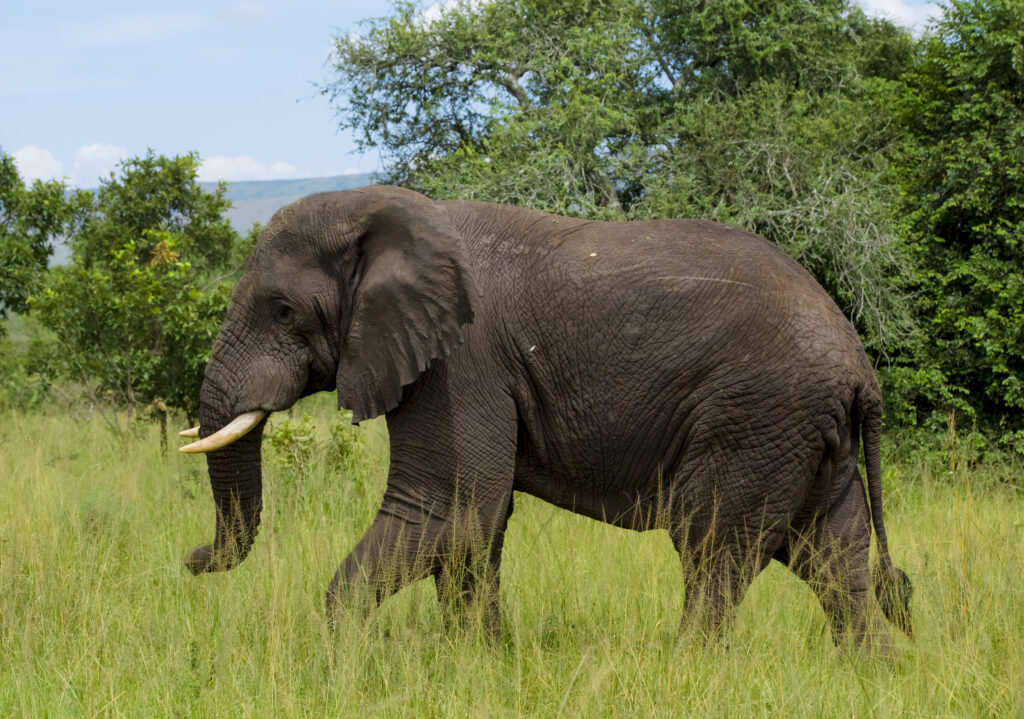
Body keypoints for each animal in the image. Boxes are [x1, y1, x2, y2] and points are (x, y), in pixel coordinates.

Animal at [182, 184, 913, 647]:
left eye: (282, 311)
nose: (190, 558)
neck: (389, 211)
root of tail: (860, 364)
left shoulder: (461, 359)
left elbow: (446, 510)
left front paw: (345, 662)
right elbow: (478, 524)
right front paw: (476, 660)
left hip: (756, 416)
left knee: (713, 551)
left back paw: (687, 667)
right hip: (806, 432)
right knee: (833, 556)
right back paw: (871, 672)